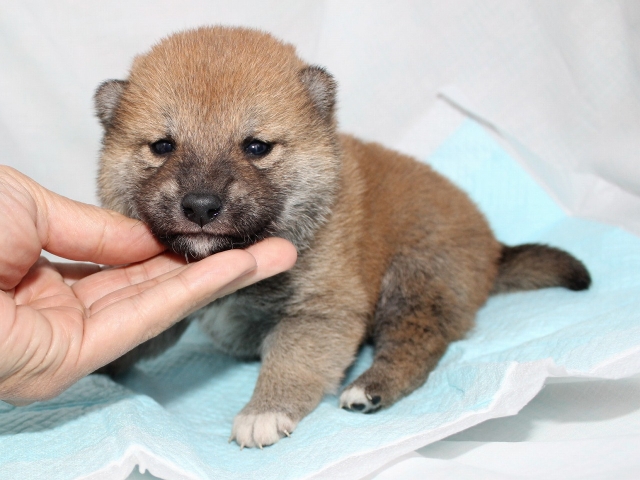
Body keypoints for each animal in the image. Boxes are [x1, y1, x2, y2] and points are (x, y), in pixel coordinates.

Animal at [94, 26, 590, 448]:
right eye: (163, 146)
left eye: (256, 147)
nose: (200, 206)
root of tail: (493, 249)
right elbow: (139, 341)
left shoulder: (322, 311)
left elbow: (290, 362)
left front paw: (263, 412)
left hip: (415, 279)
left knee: (418, 342)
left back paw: (369, 388)